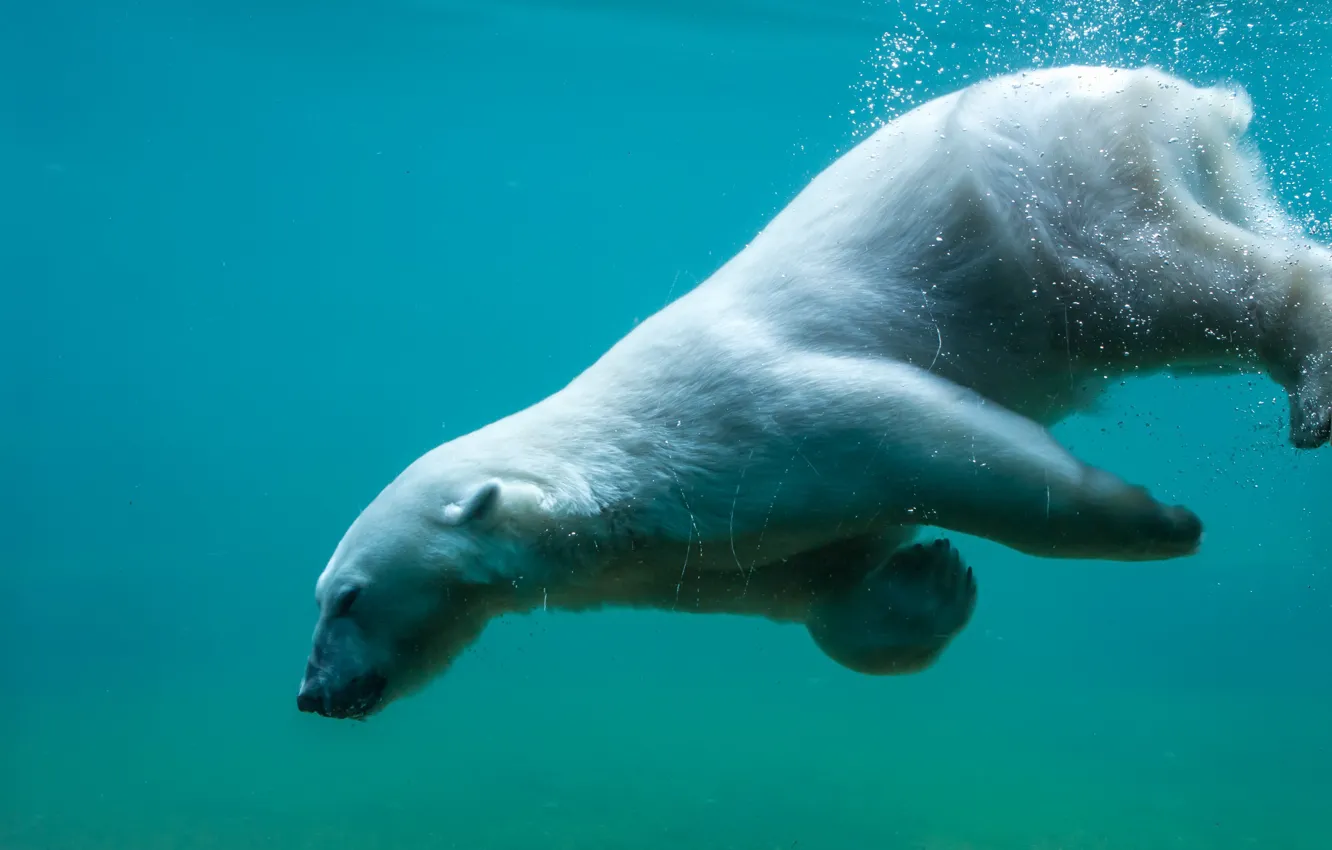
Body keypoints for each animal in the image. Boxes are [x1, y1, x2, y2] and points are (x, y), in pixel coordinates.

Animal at [297, 63, 1326, 724]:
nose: (312, 696)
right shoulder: (706, 555)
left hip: (1045, 212)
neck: (616, 464)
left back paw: (1310, 385)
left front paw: (1156, 522)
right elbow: (822, 588)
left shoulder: (747, 421)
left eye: (345, 597)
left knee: (1169, 291)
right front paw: (932, 583)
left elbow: (935, 438)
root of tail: (1180, 98)